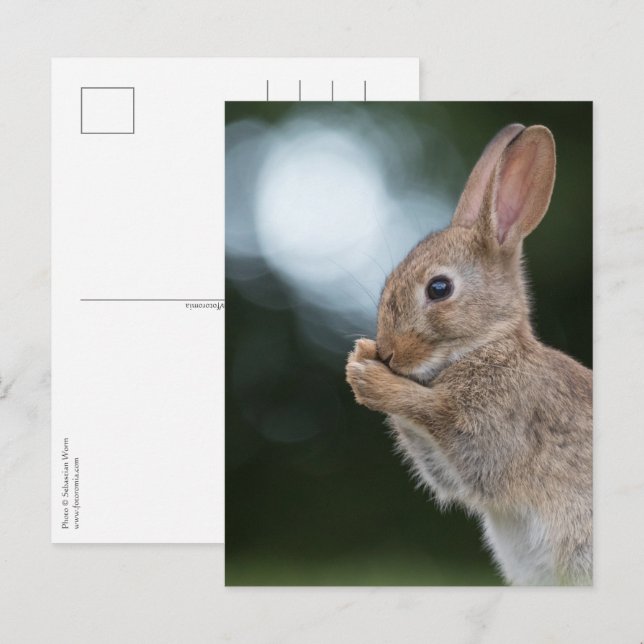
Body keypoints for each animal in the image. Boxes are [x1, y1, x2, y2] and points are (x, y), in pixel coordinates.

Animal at [346, 124, 592, 586]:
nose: (389, 352)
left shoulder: (495, 431)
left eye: (439, 288)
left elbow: (439, 419)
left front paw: (370, 378)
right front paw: (361, 356)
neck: (488, 345)